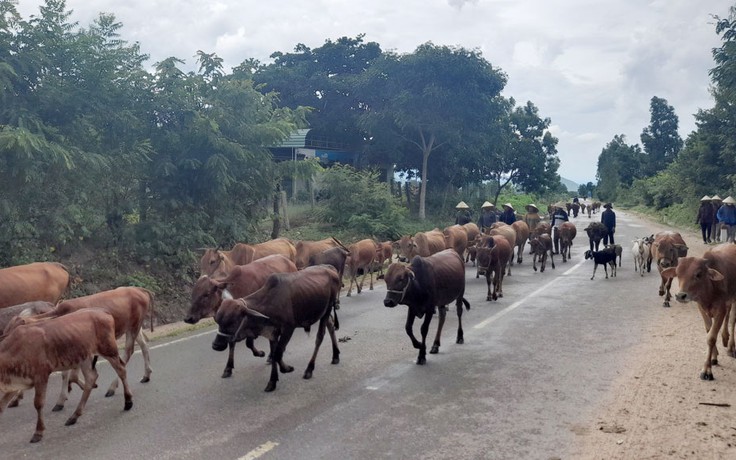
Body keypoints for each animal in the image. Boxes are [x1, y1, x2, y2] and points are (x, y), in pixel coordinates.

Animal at [0, 308, 132, 444]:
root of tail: (102, 311)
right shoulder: (15, 383)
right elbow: (2, 406)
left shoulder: (41, 376)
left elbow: (38, 403)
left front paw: (38, 432)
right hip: (85, 357)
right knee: (91, 378)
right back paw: (74, 416)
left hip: (109, 350)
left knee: (121, 370)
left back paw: (128, 401)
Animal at [211, 266, 340, 392]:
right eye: (217, 321)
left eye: (232, 323)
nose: (215, 346)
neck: (269, 302)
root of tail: (331, 269)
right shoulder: (272, 332)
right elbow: (274, 354)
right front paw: (272, 381)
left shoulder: (288, 329)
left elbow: (277, 353)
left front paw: (286, 368)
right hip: (324, 313)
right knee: (331, 326)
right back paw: (335, 356)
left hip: (327, 309)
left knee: (320, 337)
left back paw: (309, 369)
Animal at [660, 244, 736, 380]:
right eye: (678, 274)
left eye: (699, 274)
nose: (681, 296)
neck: (710, 289)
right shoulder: (702, 308)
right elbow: (709, 331)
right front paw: (714, 357)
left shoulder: (720, 311)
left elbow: (711, 337)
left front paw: (707, 370)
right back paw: (725, 337)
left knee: (732, 320)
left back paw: (731, 347)